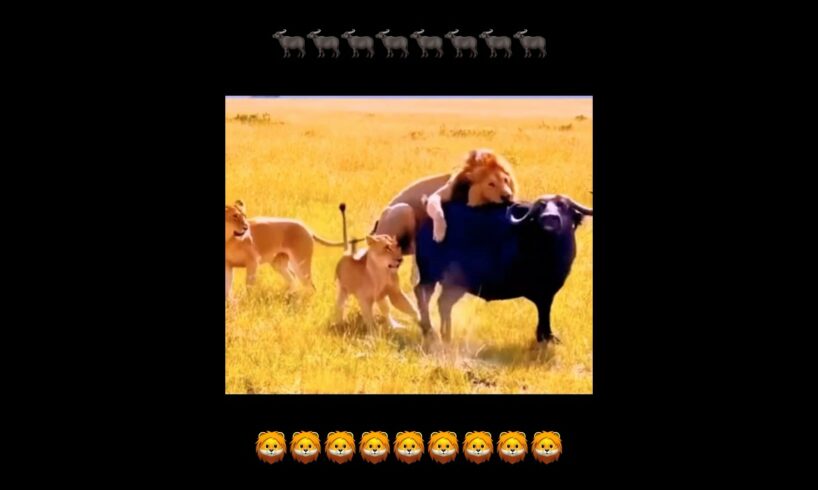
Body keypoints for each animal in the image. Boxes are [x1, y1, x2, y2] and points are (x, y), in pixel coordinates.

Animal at [414, 195, 592, 344]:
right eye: (540, 208)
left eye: (563, 206)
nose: (550, 218)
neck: (549, 251)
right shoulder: (543, 291)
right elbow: (544, 309)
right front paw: (545, 336)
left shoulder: (548, 291)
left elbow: (545, 310)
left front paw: (546, 336)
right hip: (431, 275)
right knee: (424, 294)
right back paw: (429, 330)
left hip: (452, 284)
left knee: (442, 303)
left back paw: (445, 334)